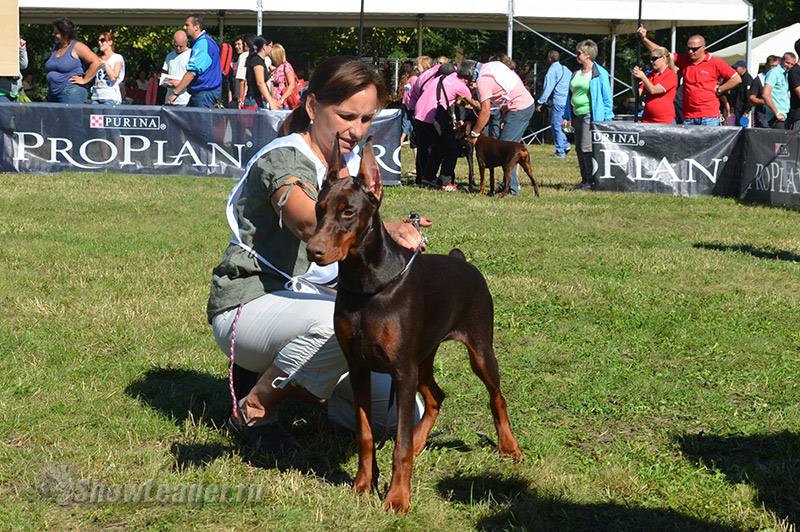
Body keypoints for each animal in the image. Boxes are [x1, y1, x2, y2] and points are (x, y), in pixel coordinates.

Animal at [304, 136, 520, 512]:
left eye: (348, 212)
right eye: (319, 208)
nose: (313, 250)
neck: (367, 284)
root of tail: (461, 260)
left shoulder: (401, 371)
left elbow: (400, 445)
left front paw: (397, 498)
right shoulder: (359, 366)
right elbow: (365, 433)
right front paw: (363, 484)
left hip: (478, 350)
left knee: (497, 396)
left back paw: (509, 446)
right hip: (423, 358)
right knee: (436, 396)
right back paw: (421, 442)